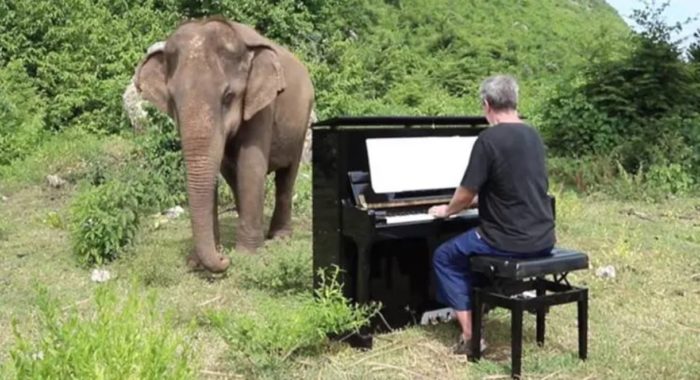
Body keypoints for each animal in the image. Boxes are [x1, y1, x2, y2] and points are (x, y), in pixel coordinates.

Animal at [134, 17, 314, 274]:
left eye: (228, 96)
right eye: (173, 100)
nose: (223, 259)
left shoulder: (262, 105)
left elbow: (251, 164)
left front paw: (247, 255)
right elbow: (221, 169)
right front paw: (200, 261)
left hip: (303, 121)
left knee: (287, 176)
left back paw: (278, 237)